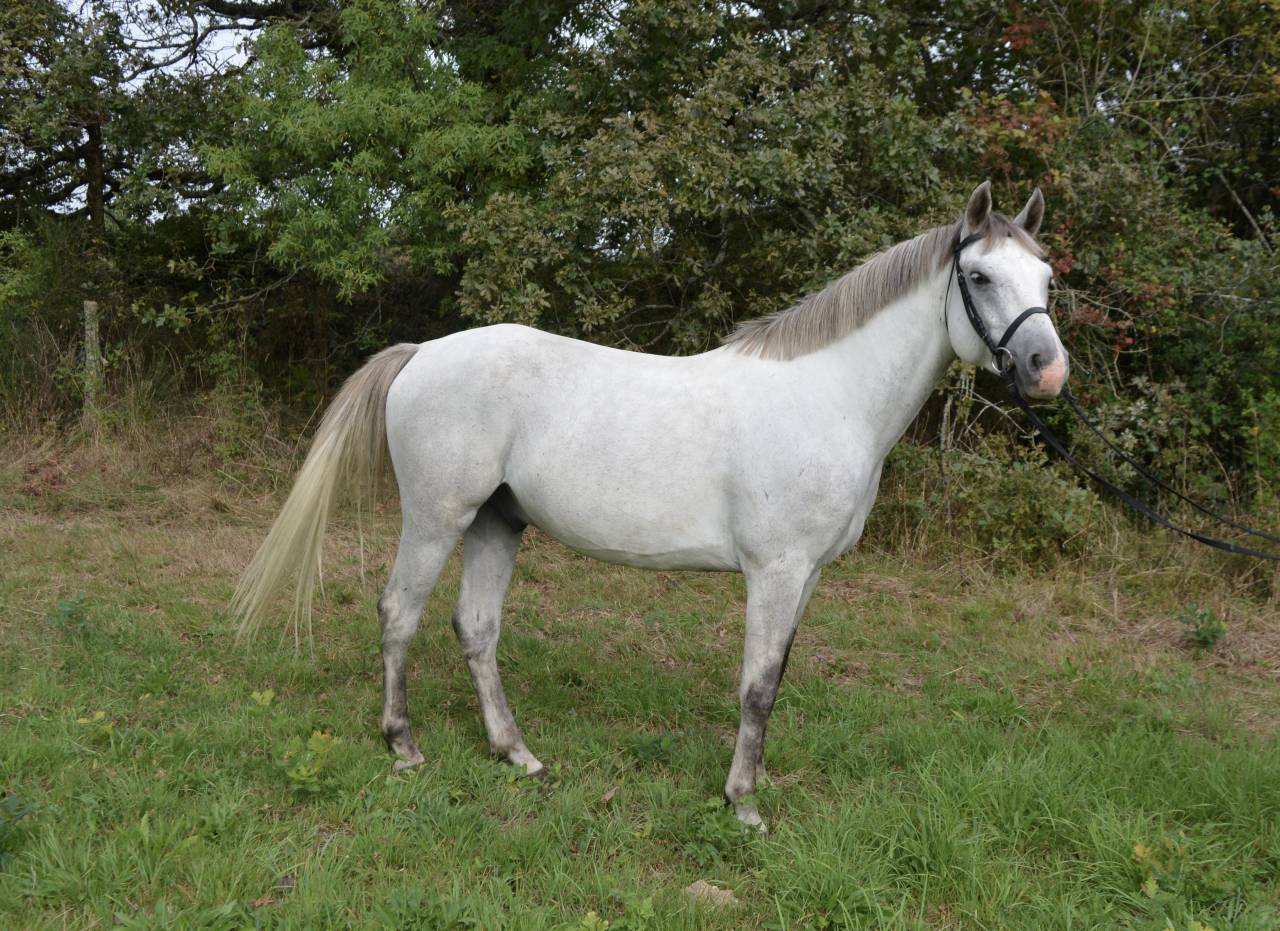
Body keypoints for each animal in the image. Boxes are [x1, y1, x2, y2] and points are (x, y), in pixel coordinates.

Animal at [232, 181, 1068, 829]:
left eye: (1046, 277)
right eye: (980, 277)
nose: (1047, 370)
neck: (828, 394)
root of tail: (422, 353)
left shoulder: (807, 575)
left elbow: (775, 678)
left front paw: (753, 785)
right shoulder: (775, 570)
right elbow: (757, 685)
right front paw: (744, 804)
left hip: (498, 523)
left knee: (476, 629)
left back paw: (517, 753)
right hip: (438, 519)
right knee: (398, 614)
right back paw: (403, 745)